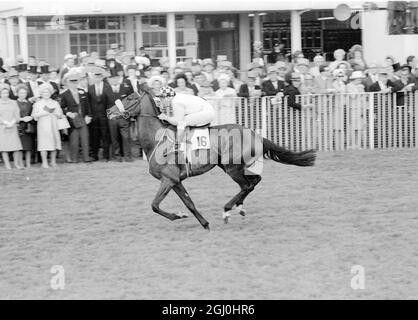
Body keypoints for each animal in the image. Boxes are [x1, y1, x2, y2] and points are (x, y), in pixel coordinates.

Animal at [106, 90, 316, 230]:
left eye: (130, 98)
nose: (109, 111)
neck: (157, 139)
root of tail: (255, 133)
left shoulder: (168, 178)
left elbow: (155, 205)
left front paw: (178, 215)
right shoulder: (175, 180)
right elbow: (189, 204)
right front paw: (203, 223)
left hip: (232, 167)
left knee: (247, 185)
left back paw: (227, 210)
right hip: (230, 166)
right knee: (254, 182)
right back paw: (239, 208)